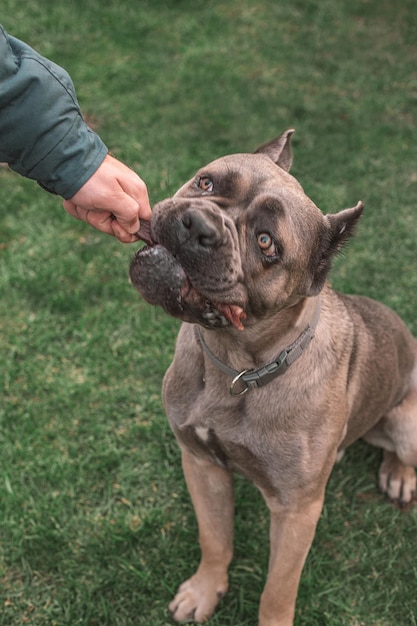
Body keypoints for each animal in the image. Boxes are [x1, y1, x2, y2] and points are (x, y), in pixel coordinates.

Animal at [128, 128, 414, 624]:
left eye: (266, 243)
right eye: (205, 182)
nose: (197, 226)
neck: (237, 365)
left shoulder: (295, 511)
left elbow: (277, 590)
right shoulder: (201, 463)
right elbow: (214, 538)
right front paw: (204, 590)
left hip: (407, 421)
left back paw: (398, 474)